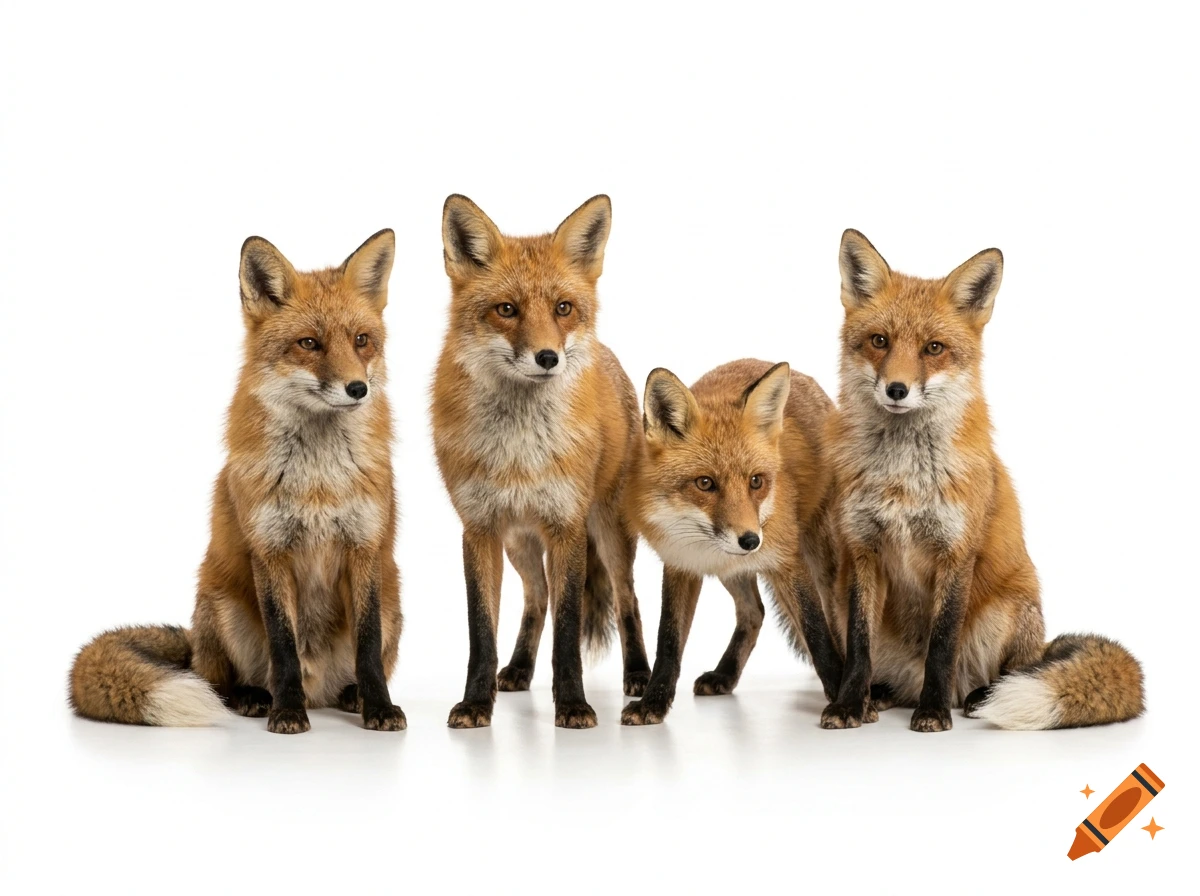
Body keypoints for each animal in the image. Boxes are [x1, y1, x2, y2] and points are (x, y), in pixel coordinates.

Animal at [69, 231, 406, 734]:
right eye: (309, 343)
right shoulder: (269, 550)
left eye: (362, 341)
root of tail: (319, 688)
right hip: (222, 606)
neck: (318, 481)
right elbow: (283, 647)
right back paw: (255, 697)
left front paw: (379, 707)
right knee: (217, 682)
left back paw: (351, 695)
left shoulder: (364, 549)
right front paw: (287, 712)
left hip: (392, 600)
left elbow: (367, 649)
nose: (357, 389)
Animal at [431, 194, 652, 729]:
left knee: (627, 598)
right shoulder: (480, 528)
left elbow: (569, 628)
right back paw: (518, 669)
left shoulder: (566, 525)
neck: (520, 452)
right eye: (506, 310)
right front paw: (476, 702)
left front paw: (572, 704)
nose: (548, 357)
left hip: (608, 532)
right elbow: (481, 632)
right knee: (538, 597)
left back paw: (638, 673)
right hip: (520, 543)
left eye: (563, 308)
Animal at [620, 359, 844, 725]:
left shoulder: (786, 561)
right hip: (733, 571)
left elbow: (817, 631)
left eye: (756, 481)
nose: (751, 540)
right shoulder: (681, 563)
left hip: (824, 561)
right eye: (705, 483)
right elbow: (668, 640)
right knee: (754, 612)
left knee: (834, 618)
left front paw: (845, 700)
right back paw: (725, 674)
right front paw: (654, 702)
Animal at [819, 229, 1144, 732]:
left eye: (933, 348)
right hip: (838, 596)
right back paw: (880, 696)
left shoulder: (956, 552)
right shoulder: (862, 551)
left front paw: (932, 712)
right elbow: (858, 646)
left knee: (1007, 672)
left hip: (1008, 610)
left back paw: (972, 698)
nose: (897, 390)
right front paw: (849, 704)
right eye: (879, 341)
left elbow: (942, 644)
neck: (903, 477)